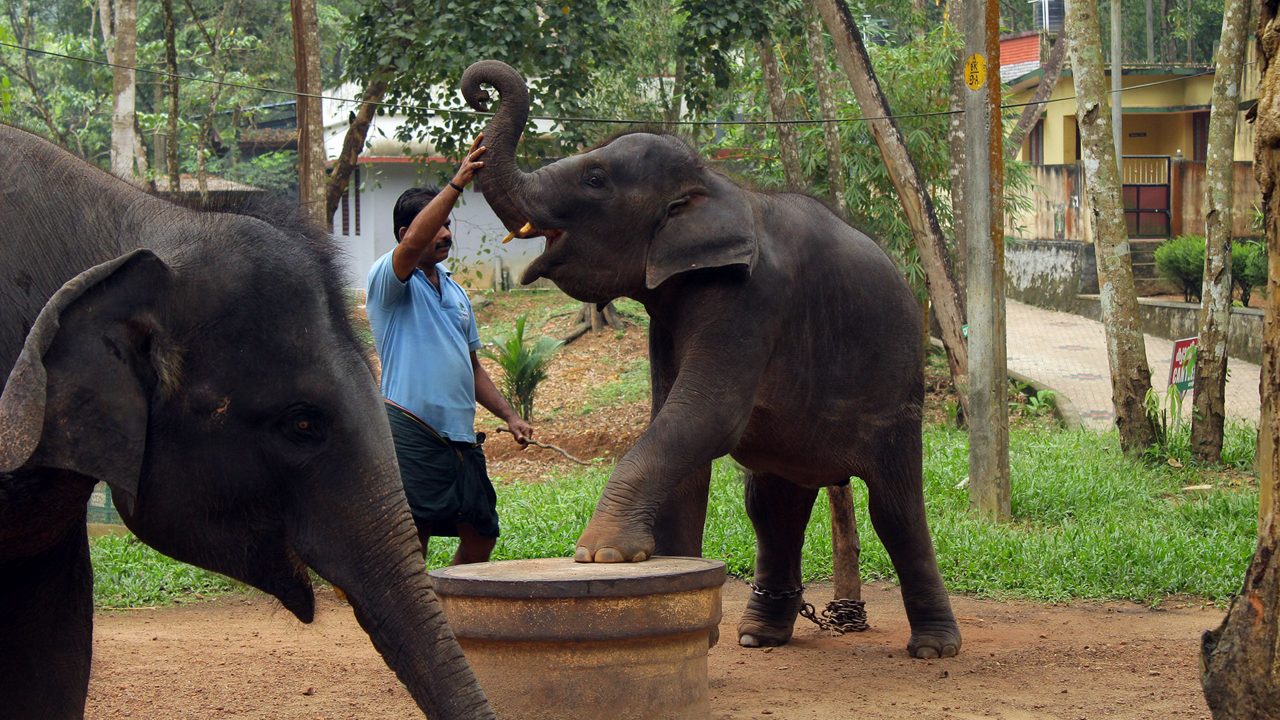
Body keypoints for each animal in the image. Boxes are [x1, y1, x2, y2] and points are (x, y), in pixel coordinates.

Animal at [463, 60, 962, 655]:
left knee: (895, 510)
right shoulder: (668, 319)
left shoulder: (751, 299)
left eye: (595, 179)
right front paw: (663, 574)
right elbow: (676, 424)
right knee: (771, 509)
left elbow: (705, 417)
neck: (716, 184)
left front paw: (600, 554)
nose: (476, 91)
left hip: (897, 397)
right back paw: (758, 636)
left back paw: (933, 647)